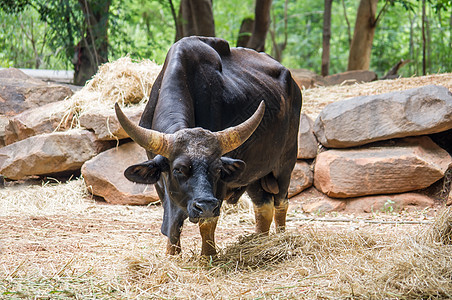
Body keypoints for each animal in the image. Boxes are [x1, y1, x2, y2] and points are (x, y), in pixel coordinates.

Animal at [115, 35, 302, 255]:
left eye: (217, 169)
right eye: (178, 169)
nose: (204, 205)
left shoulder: (219, 188)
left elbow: (207, 224)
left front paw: (208, 255)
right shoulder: (161, 181)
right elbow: (173, 223)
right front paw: (172, 254)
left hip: (285, 166)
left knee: (281, 203)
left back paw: (281, 239)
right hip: (255, 175)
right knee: (263, 206)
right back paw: (259, 240)